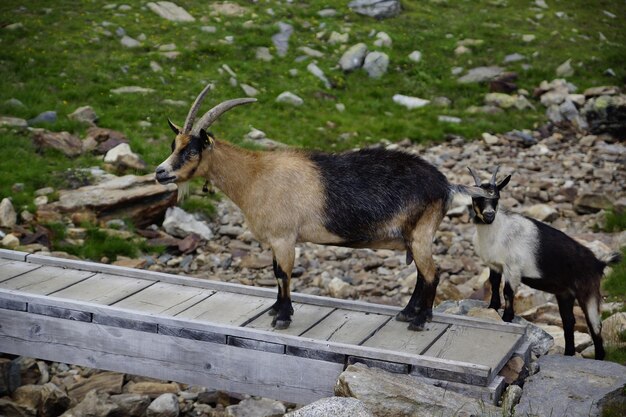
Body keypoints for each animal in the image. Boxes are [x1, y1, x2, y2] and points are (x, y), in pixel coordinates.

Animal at [154, 85, 490, 332]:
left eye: (192, 150)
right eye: (173, 145)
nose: (160, 172)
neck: (255, 176)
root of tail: (445, 185)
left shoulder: (284, 237)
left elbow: (283, 274)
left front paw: (283, 317)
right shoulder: (277, 240)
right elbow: (275, 272)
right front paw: (275, 310)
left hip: (421, 232)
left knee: (432, 273)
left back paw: (419, 321)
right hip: (414, 236)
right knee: (422, 274)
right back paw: (408, 313)